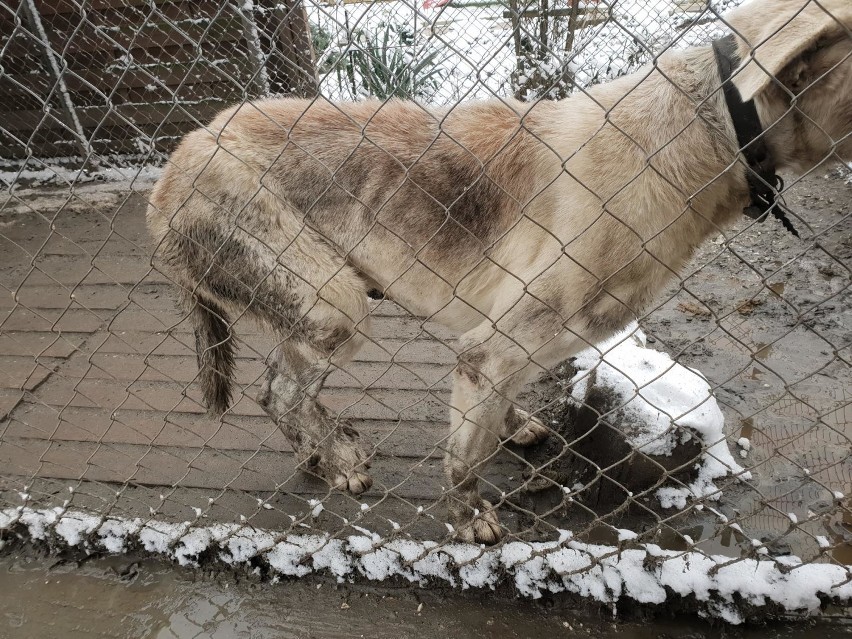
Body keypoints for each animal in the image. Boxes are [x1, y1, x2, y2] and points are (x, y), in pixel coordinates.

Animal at [150, 0, 852, 544]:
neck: (709, 134)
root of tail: (176, 162)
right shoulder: (488, 349)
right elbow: (466, 457)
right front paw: (469, 519)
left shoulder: (523, 342)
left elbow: (501, 409)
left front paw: (514, 427)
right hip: (333, 307)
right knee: (279, 392)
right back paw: (338, 456)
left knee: (281, 386)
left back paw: (324, 450)